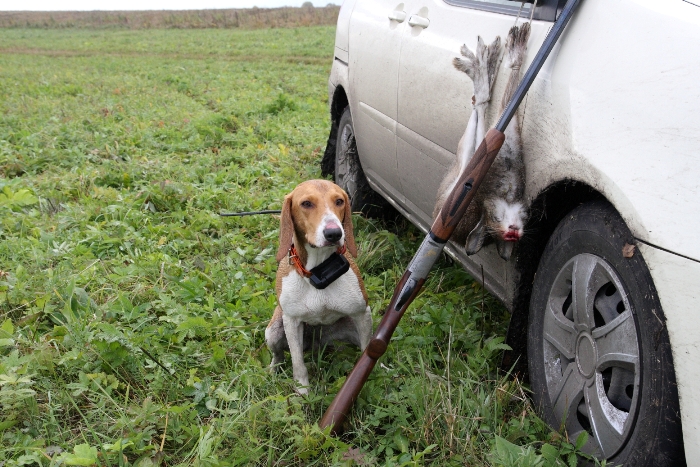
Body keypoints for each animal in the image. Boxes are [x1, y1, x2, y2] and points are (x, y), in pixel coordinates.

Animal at [264, 179, 372, 394]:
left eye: (339, 201)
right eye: (306, 203)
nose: (334, 233)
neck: (319, 269)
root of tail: (317, 344)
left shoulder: (362, 314)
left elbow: (367, 351)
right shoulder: (292, 322)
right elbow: (298, 364)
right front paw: (303, 392)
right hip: (274, 330)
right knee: (279, 356)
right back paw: (274, 369)